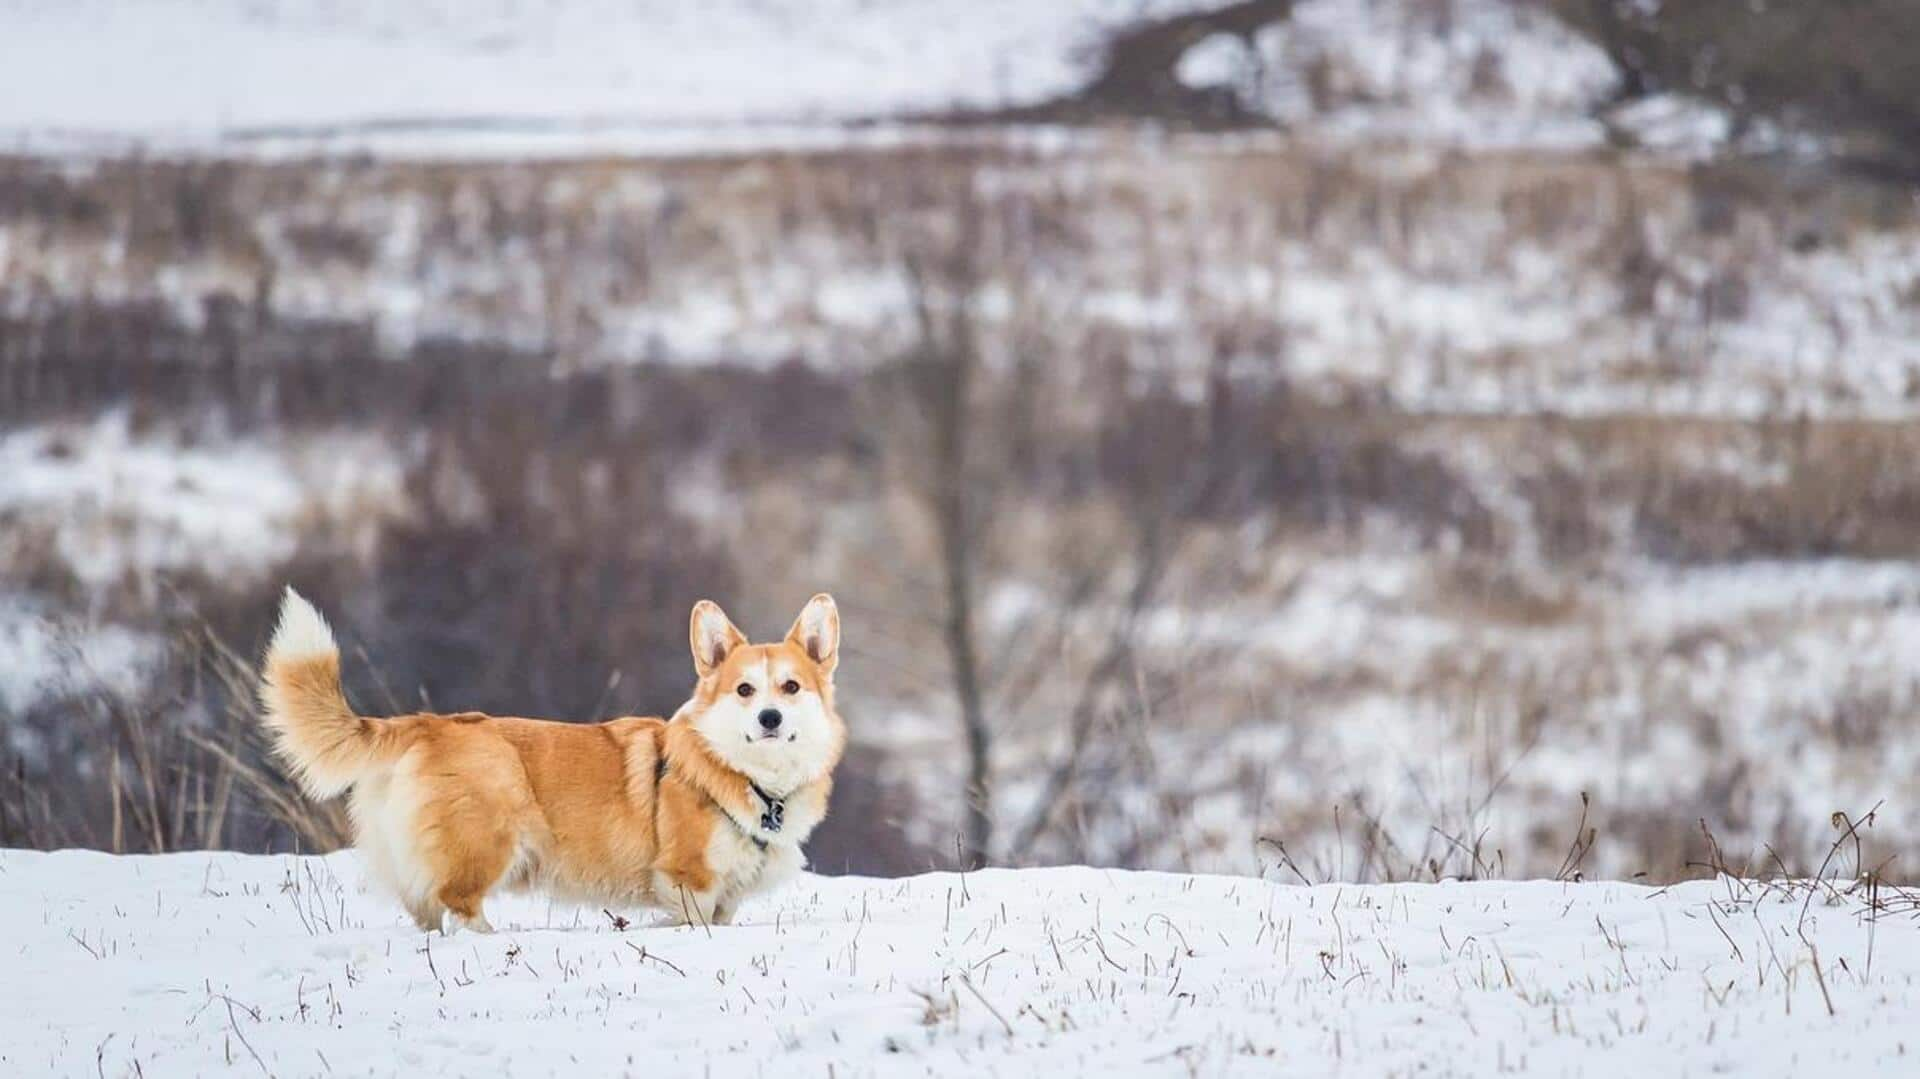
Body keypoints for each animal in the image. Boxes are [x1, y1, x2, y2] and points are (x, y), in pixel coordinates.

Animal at [259, 583, 844, 929]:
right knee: (459, 905)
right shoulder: (689, 881)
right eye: (744, 690)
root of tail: (430, 724)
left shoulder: (727, 899)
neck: (752, 779)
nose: (770, 719)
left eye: (791, 687)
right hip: (487, 841)